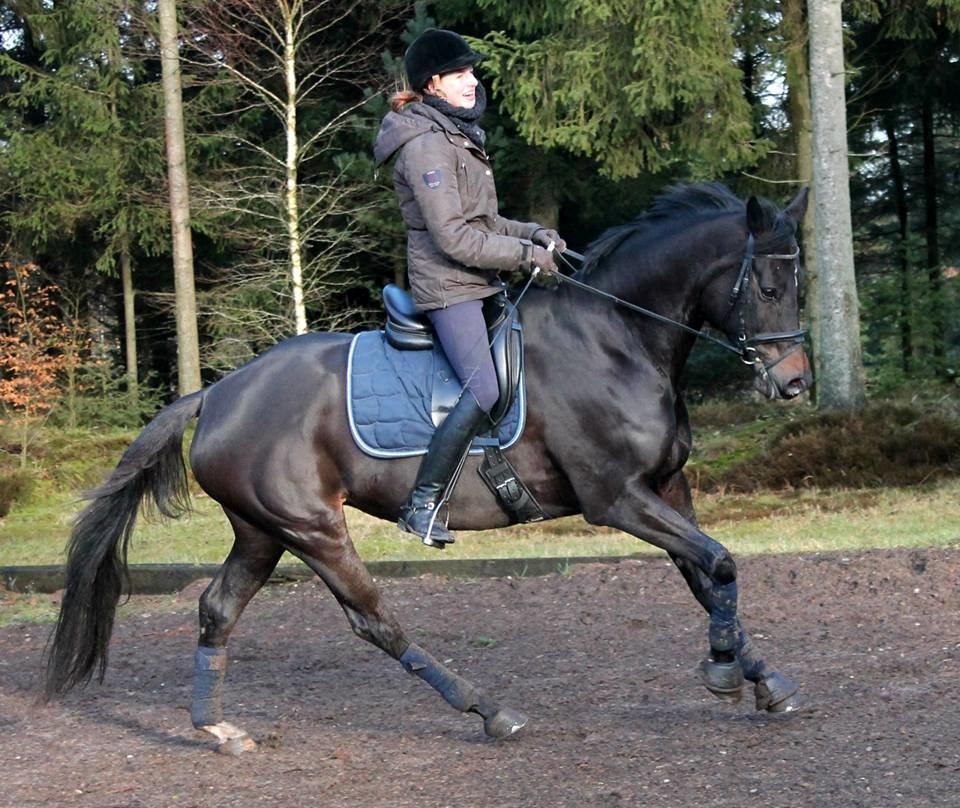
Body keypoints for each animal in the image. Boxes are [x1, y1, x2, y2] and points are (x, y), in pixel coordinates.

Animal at [43, 181, 808, 752]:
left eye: (800, 284)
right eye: (768, 288)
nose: (795, 383)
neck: (618, 338)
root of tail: (220, 392)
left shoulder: (667, 488)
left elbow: (708, 574)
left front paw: (760, 676)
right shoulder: (616, 497)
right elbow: (719, 563)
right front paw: (722, 672)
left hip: (262, 531)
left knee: (217, 608)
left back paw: (217, 729)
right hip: (312, 527)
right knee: (373, 619)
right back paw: (489, 709)